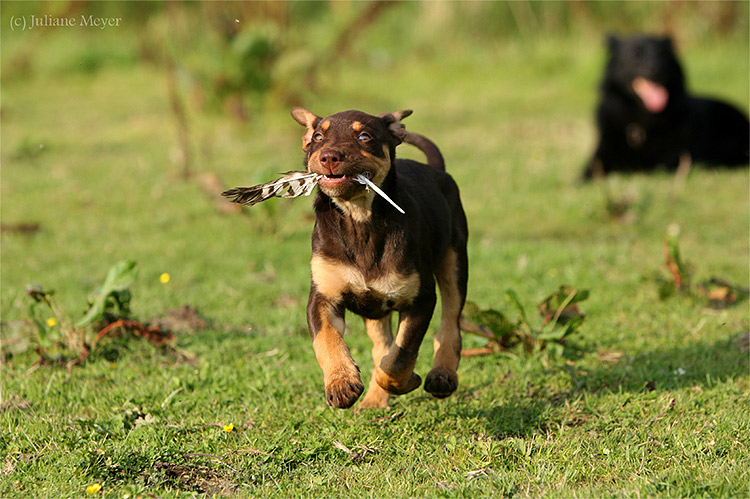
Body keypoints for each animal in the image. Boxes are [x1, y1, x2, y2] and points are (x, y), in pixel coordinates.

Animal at [290, 108, 468, 410]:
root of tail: (436, 169)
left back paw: (442, 375)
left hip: (454, 260)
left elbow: (401, 354)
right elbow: (327, 340)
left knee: (450, 321)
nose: (328, 157)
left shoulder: (421, 298)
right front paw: (341, 384)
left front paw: (405, 381)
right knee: (380, 347)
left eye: (364, 136)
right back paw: (373, 400)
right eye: (318, 137)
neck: (359, 217)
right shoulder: (323, 297)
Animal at [588, 34, 750, 180]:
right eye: (634, 55)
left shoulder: (670, 163)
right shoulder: (598, 160)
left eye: (662, 54)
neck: (644, 121)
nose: (657, 70)